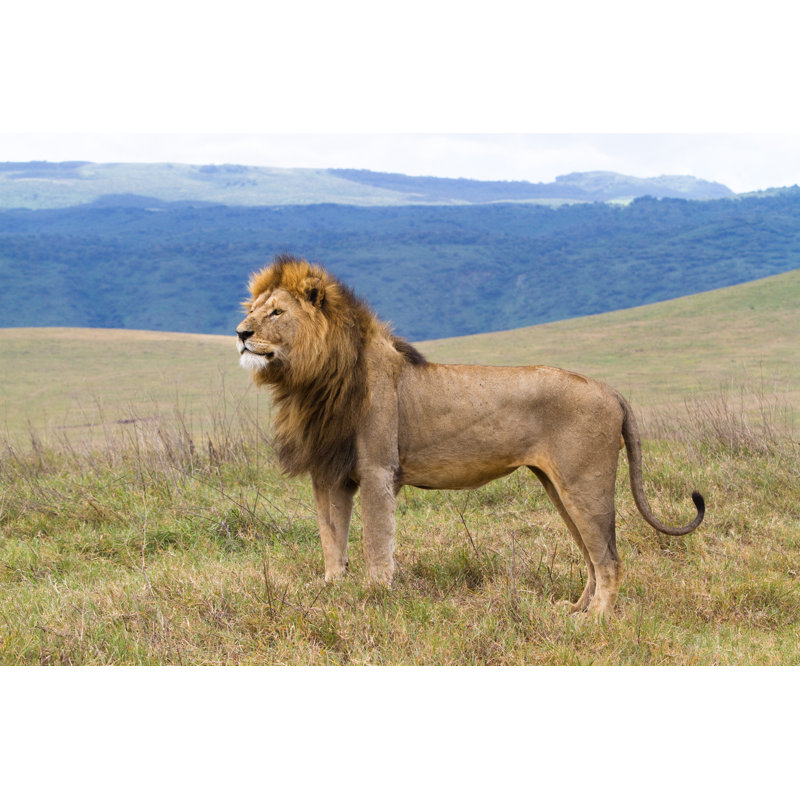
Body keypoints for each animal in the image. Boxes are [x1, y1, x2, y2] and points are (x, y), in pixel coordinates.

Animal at [236, 255, 704, 616]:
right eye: (254, 308)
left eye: (276, 313)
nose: (241, 333)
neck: (311, 381)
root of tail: (610, 390)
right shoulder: (329, 473)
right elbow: (332, 539)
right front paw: (331, 589)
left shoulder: (377, 470)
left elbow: (375, 542)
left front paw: (375, 596)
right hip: (558, 487)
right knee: (592, 556)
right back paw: (574, 609)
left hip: (585, 484)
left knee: (609, 559)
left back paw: (596, 620)